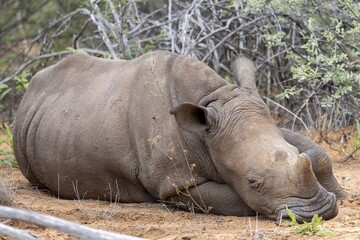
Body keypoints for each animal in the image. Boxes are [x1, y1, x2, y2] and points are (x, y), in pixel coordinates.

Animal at [13, 51, 346, 223]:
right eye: (253, 182)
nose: (319, 212)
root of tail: (28, 94)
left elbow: (314, 151)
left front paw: (339, 193)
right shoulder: (174, 183)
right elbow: (239, 201)